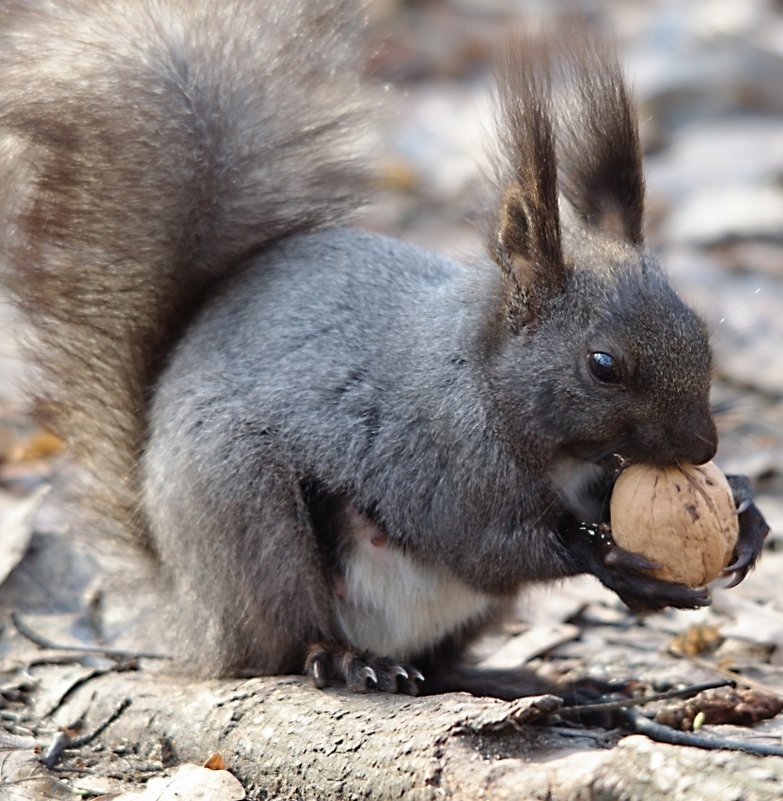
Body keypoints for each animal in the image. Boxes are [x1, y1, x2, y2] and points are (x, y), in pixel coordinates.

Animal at [0, 0, 772, 696]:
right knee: (287, 640)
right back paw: (347, 660)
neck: (487, 381)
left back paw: (512, 677)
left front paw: (744, 509)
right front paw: (607, 556)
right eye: (603, 366)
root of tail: (194, 615)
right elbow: (487, 547)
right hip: (246, 516)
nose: (703, 446)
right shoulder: (441, 459)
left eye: (699, 330)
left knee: (439, 662)